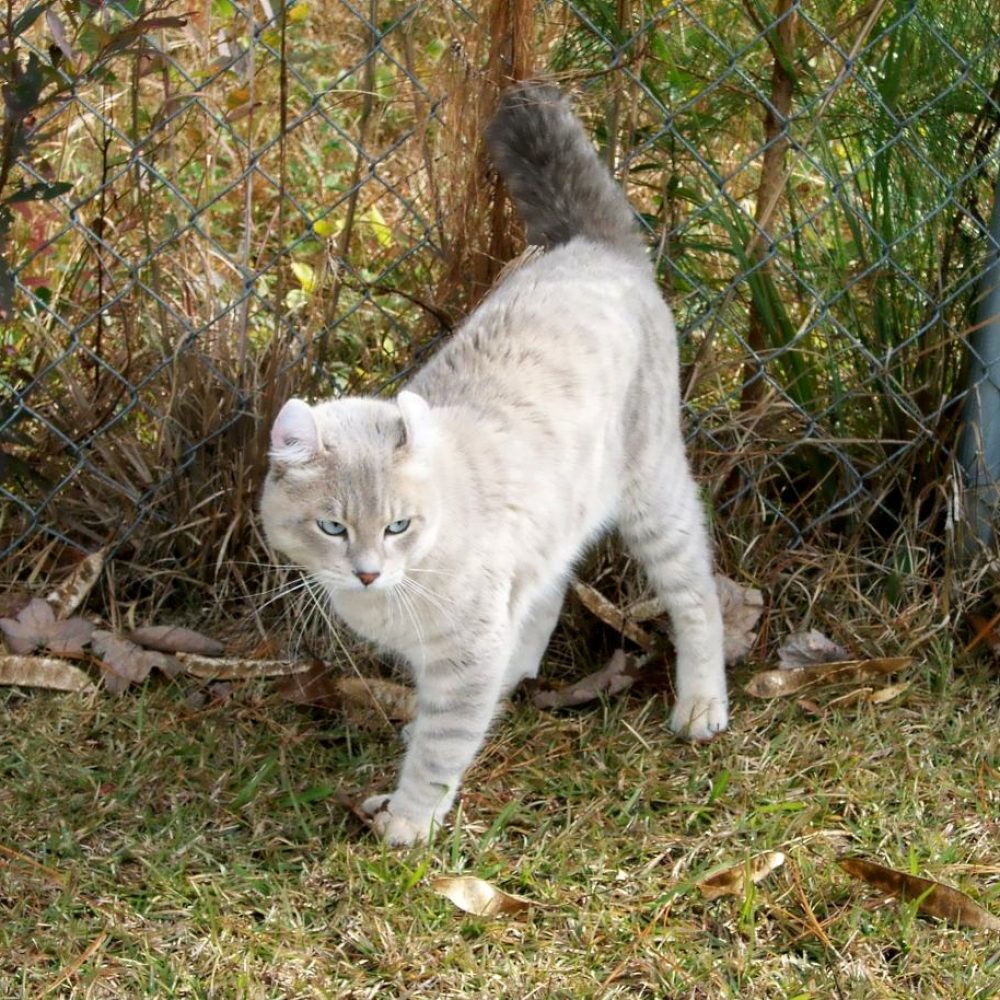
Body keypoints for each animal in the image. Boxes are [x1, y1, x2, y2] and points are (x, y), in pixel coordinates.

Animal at [258, 82, 728, 844]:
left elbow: (440, 746)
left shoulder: (464, 656)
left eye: (397, 526)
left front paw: (408, 822)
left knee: (696, 597)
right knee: (550, 593)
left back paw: (702, 706)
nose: (367, 570)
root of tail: (595, 245)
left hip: (653, 496)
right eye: (332, 527)